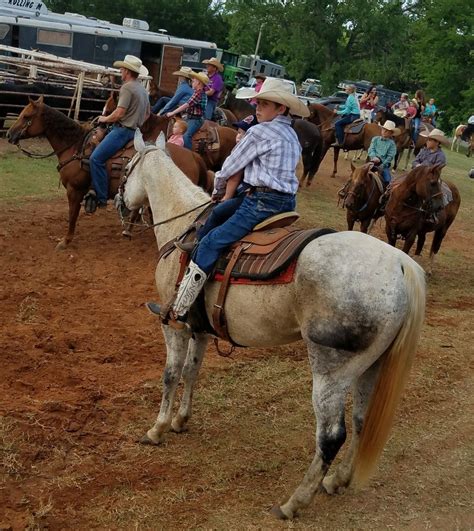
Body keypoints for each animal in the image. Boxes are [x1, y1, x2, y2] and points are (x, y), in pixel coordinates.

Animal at [6, 97, 210, 249]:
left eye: (26, 116)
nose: (9, 134)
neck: (75, 147)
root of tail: (193, 156)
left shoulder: (74, 190)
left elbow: (72, 215)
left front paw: (65, 240)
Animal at [118, 135, 426, 520]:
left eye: (125, 167)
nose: (119, 202)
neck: (184, 224)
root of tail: (400, 264)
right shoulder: (199, 328)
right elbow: (192, 371)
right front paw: (181, 420)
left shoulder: (174, 325)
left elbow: (171, 374)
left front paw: (157, 428)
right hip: (371, 365)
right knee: (360, 421)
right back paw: (337, 481)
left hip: (331, 370)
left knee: (331, 435)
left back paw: (294, 502)